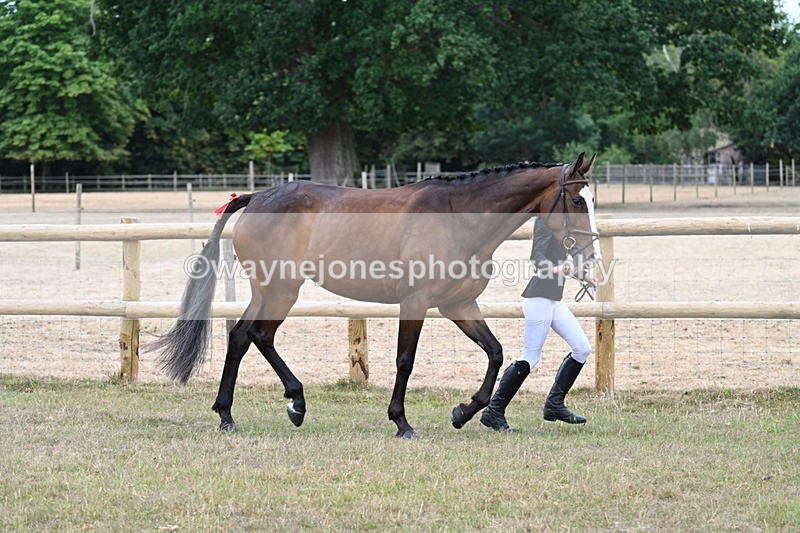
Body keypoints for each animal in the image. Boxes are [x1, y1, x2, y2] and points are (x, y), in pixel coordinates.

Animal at [151, 152, 601, 438]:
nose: (590, 255)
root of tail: (256, 197)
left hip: (267, 292)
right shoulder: (416, 303)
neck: (458, 216)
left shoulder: (458, 305)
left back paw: (231, 415)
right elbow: (405, 361)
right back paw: (294, 403)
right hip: (281, 290)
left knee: (241, 337)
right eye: (577, 200)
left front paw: (463, 412)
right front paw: (402, 422)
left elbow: (495, 353)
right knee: (259, 336)